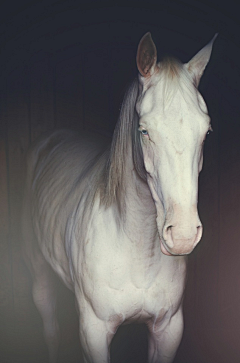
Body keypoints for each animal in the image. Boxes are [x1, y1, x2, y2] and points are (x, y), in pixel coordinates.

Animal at [22, 32, 217, 362]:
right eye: (144, 131)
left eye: (206, 132)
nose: (182, 236)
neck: (135, 247)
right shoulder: (94, 333)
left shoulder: (168, 329)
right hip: (38, 267)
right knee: (50, 327)